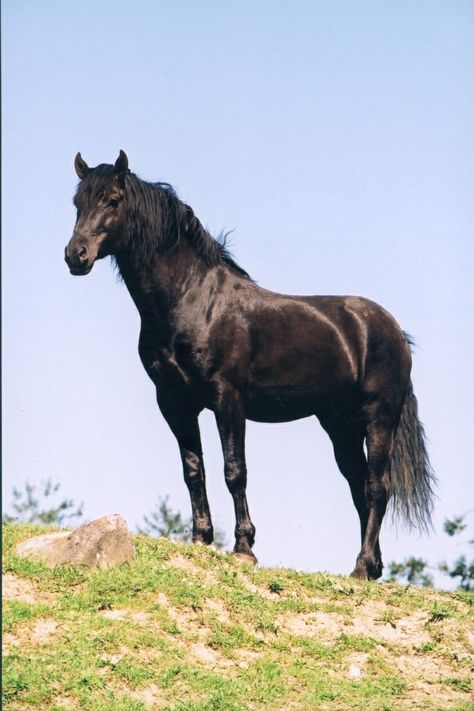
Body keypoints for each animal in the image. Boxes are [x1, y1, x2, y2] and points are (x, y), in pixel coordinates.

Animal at [65, 150, 436, 580]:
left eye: (112, 200)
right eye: (77, 202)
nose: (75, 256)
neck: (194, 300)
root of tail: (393, 329)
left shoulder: (228, 401)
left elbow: (234, 470)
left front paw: (244, 547)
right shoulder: (174, 402)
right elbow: (194, 469)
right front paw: (201, 539)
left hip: (379, 418)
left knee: (377, 487)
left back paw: (361, 568)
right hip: (340, 426)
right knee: (359, 487)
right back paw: (371, 568)